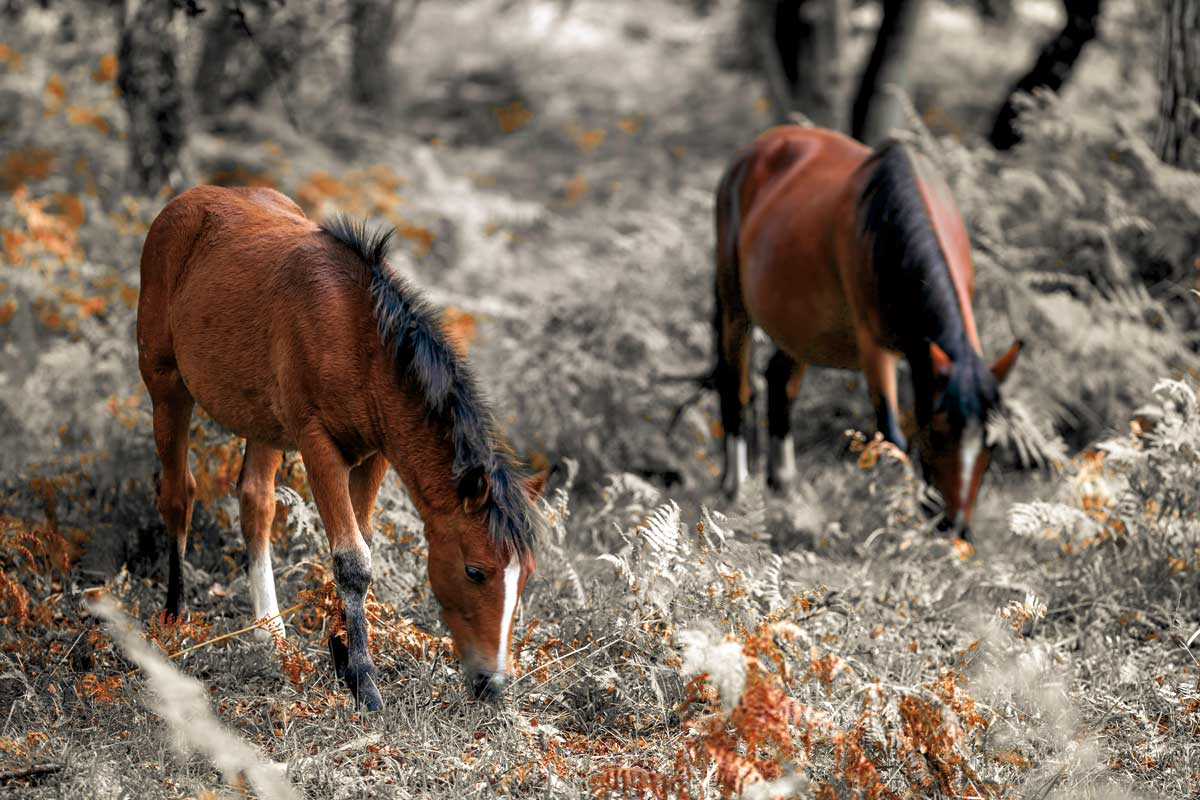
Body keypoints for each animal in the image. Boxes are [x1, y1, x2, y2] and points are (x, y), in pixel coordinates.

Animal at [136, 186, 544, 710]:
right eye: (475, 571)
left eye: (525, 576)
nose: (492, 683)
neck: (357, 339)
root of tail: (185, 202)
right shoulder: (318, 446)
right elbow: (352, 560)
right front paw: (364, 681)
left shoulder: (375, 454)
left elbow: (359, 542)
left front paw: (343, 657)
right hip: (166, 387)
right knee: (178, 495)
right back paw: (175, 617)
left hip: (263, 422)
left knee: (256, 502)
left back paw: (270, 633)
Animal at [712, 126, 1021, 538]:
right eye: (939, 433)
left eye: (992, 444)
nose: (955, 527)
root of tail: (759, 147)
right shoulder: (876, 349)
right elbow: (892, 434)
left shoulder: (921, 354)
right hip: (735, 307)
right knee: (737, 388)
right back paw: (735, 487)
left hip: (801, 326)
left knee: (780, 379)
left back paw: (785, 487)